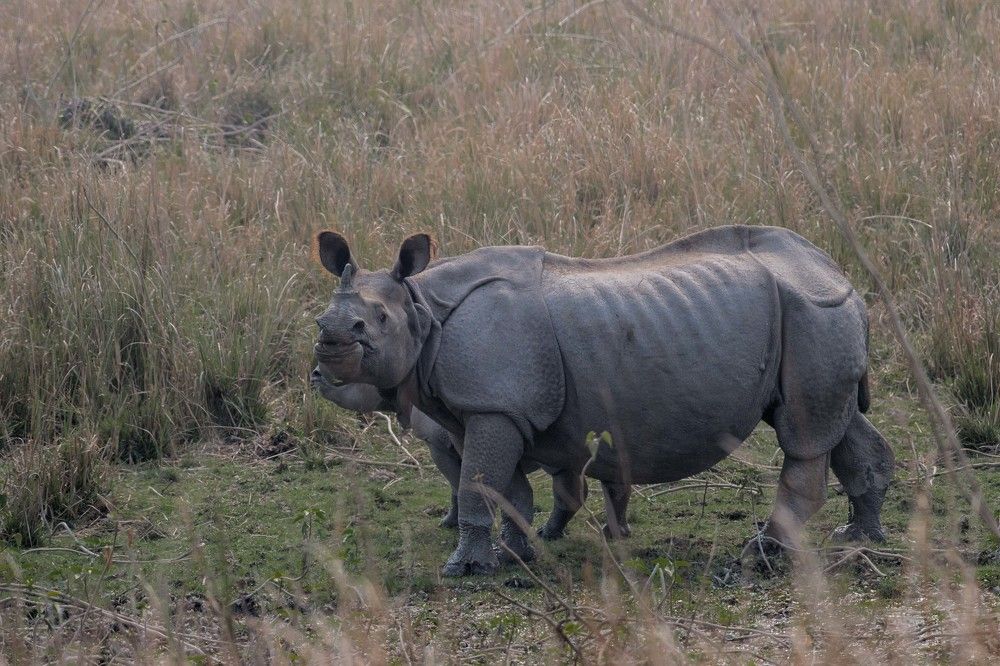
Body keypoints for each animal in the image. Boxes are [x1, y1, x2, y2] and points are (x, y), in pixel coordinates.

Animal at [312, 225, 894, 576]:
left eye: (376, 322)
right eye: (321, 318)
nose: (330, 342)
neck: (421, 308)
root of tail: (838, 271)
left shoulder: (492, 405)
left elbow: (477, 485)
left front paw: (464, 570)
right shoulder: (494, 409)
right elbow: (510, 489)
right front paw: (518, 555)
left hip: (814, 310)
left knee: (803, 432)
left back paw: (761, 557)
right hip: (816, 315)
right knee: (838, 424)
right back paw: (858, 540)